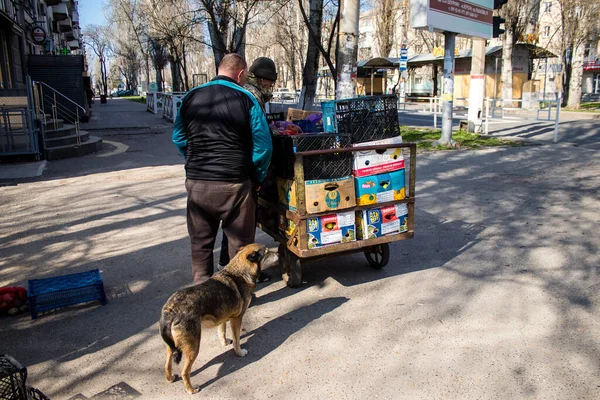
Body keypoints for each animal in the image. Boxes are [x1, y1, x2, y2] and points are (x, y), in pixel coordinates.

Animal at [159, 244, 282, 394]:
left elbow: (221, 332)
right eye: (267, 252)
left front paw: (224, 343)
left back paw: (170, 378)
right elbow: (237, 340)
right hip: (193, 347)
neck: (239, 273)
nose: (279, 253)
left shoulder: (223, 318)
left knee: (167, 364)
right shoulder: (236, 319)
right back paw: (191, 389)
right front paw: (239, 352)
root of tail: (171, 310)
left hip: (171, 346)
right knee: (185, 372)